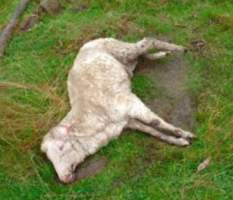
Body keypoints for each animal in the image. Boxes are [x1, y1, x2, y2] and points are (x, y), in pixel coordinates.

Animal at [41, 36, 196, 184]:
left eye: (61, 147)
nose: (64, 178)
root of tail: (89, 43)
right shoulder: (129, 122)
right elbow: (153, 131)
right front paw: (179, 141)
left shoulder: (130, 103)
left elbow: (156, 122)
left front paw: (186, 134)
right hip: (127, 62)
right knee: (142, 53)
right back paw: (161, 54)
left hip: (123, 50)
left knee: (147, 42)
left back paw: (180, 49)